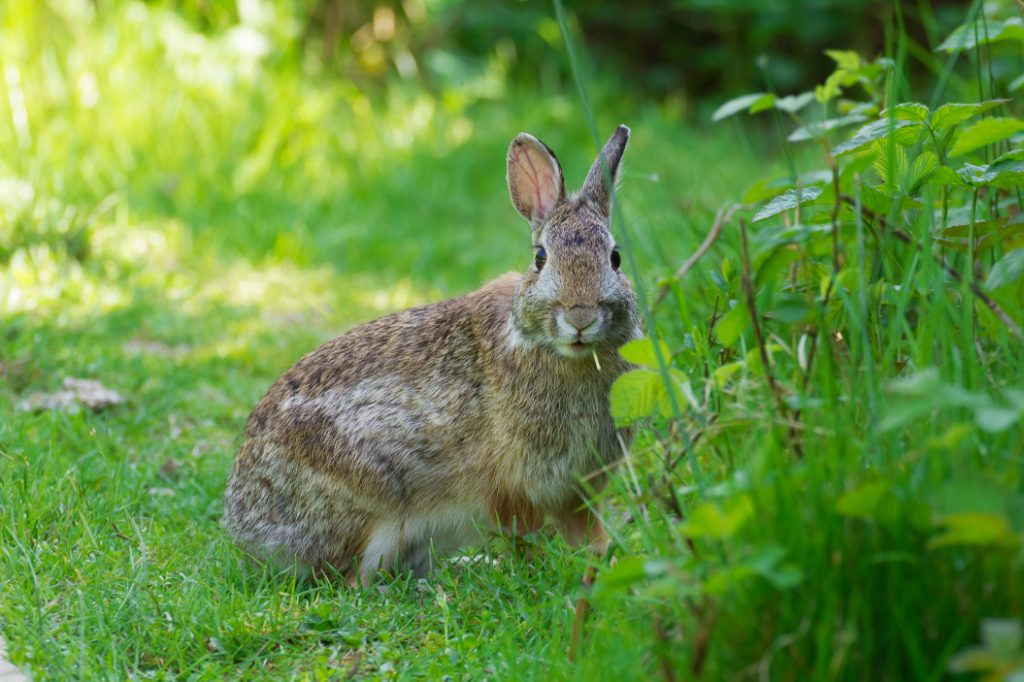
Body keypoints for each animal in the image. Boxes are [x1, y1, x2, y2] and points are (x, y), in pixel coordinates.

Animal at [222, 125, 640, 585]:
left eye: (615, 258)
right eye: (540, 258)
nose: (580, 315)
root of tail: (243, 525)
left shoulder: (577, 486)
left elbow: (589, 536)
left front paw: (602, 567)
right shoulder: (513, 485)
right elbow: (522, 537)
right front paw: (532, 575)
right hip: (373, 502)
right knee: (350, 580)